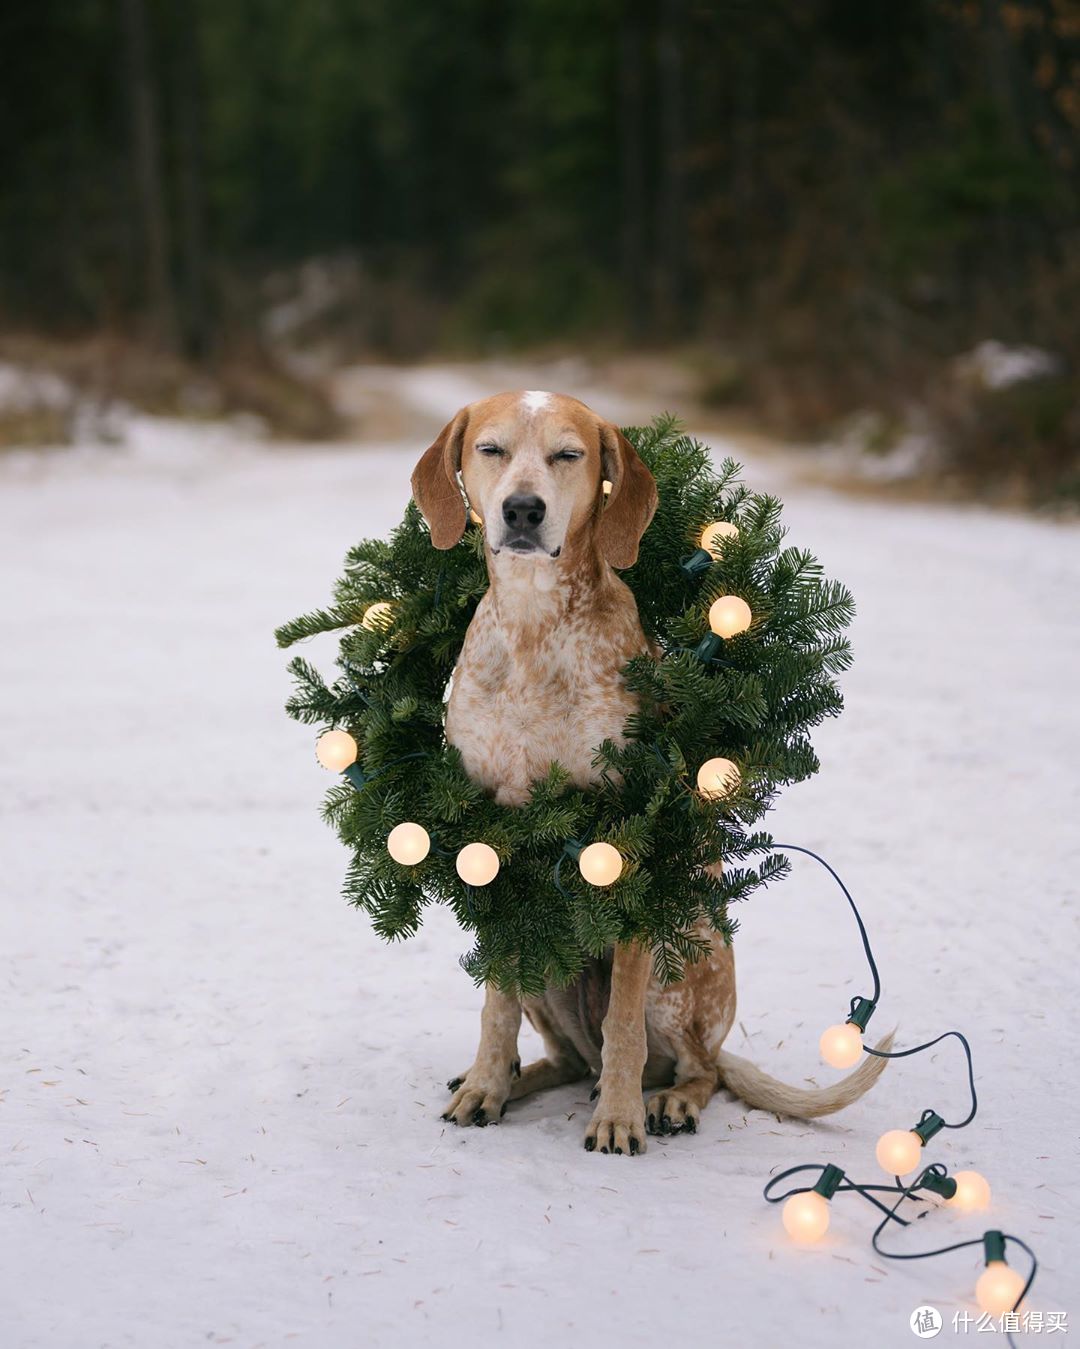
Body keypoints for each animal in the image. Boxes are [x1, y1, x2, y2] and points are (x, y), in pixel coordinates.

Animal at [409, 393, 889, 1160]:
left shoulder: (626, 839)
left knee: (695, 1067)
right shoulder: (493, 834)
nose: (522, 509)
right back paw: (515, 1078)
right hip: (548, 964)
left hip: (678, 956)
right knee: (568, 1056)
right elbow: (496, 1004)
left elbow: (623, 1027)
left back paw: (669, 1100)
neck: (534, 630)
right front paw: (485, 1083)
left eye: (568, 455)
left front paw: (619, 1117)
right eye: (490, 449)